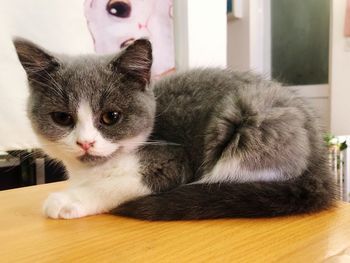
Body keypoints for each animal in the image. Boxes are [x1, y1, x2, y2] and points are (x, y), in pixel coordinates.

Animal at [13, 38, 336, 222]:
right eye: (62, 118)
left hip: (255, 121)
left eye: (111, 117)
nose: (85, 143)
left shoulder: (172, 158)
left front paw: (69, 200)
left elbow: (125, 182)